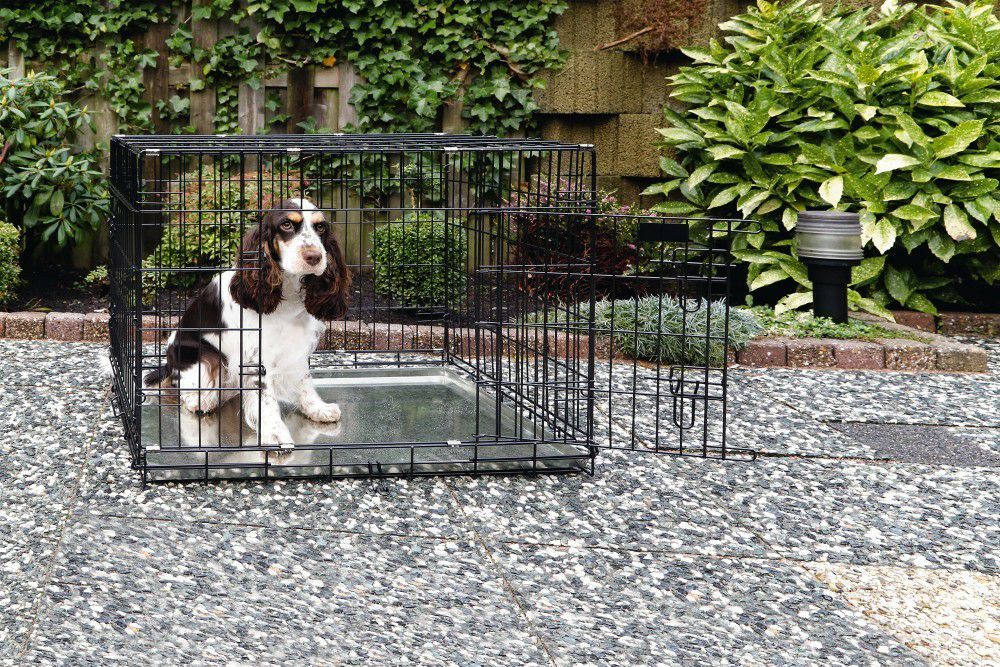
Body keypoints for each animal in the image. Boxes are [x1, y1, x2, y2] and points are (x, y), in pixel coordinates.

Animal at [144, 198, 351, 448]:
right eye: (286, 225)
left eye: (320, 227)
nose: (314, 256)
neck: (286, 292)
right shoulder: (256, 355)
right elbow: (265, 397)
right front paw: (275, 434)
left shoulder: (296, 348)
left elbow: (304, 381)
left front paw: (318, 409)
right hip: (202, 355)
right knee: (185, 387)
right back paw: (201, 400)